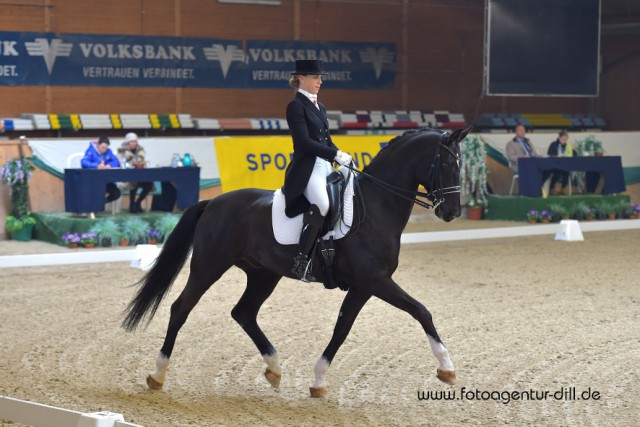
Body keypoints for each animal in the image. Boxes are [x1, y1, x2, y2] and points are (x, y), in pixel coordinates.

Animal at [122, 127, 470, 398]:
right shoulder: (376, 280)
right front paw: (447, 367)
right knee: (181, 308)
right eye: (446, 164)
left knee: (243, 312)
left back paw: (274, 369)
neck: (375, 206)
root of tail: (213, 203)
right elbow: (421, 311)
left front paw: (318, 382)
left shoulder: (363, 286)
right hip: (209, 267)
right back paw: (157, 375)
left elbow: (341, 329)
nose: (452, 212)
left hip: (263, 274)